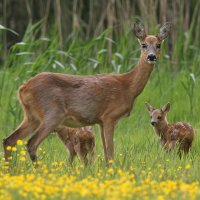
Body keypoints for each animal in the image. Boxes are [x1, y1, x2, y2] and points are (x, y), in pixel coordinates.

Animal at [2, 21, 170, 163]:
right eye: (143, 45)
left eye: (158, 45)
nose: (151, 56)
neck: (128, 86)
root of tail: (23, 88)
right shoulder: (109, 116)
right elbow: (110, 153)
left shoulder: (100, 121)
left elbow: (106, 152)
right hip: (52, 113)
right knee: (31, 143)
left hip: (31, 116)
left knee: (9, 140)